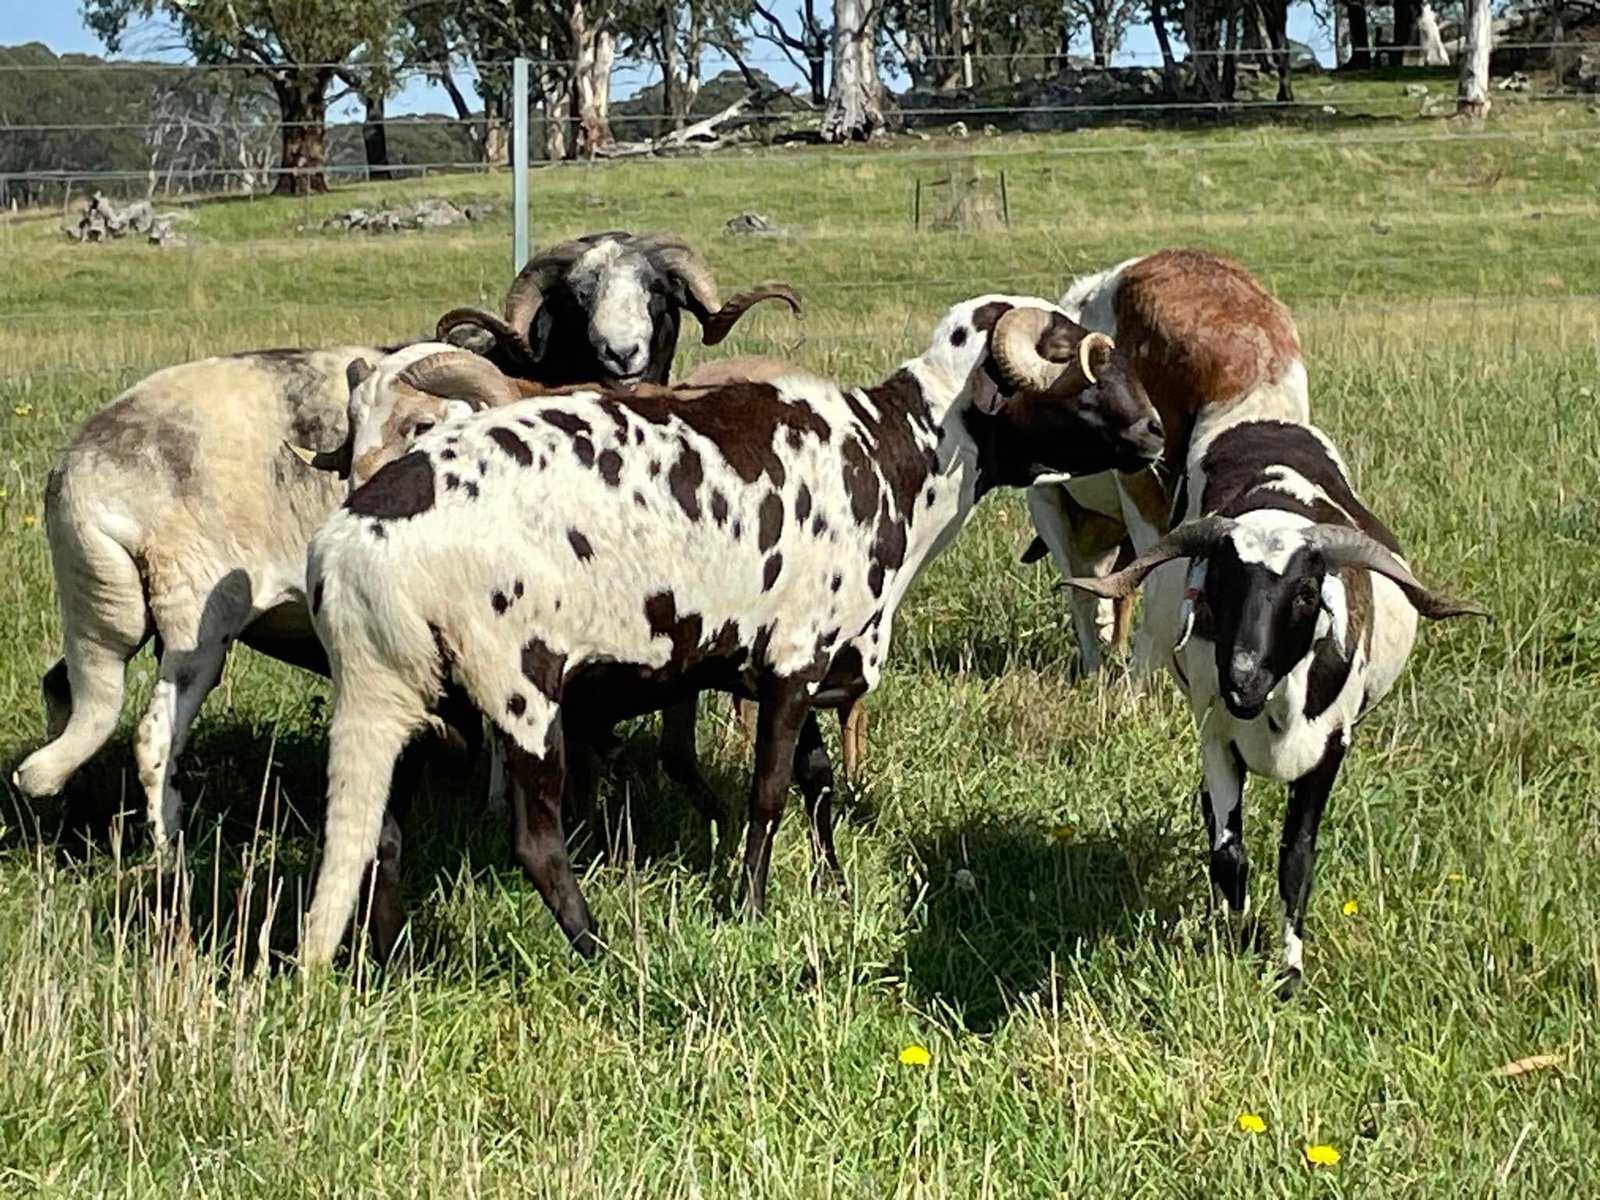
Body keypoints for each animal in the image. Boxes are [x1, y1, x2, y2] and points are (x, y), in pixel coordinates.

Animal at [13, 233, 798, 858]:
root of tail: (80, 473)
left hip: (104, 611)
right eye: (579, 294)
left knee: (66, 690)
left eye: (659, 291)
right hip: (192, 619)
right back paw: (169, 853)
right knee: (154, 737)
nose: (622, 353)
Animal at [297, 294, 1166, 965]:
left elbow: (818, 780)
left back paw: (387, 961)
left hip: (410, 694)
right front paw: (748, 903)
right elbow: (770, 790)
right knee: (535, 843)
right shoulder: (793, 660)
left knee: (382, 836)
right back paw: (602, 952)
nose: (1156, 432)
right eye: (1078, 364)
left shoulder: (802, 662)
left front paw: (832, 885)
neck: (895, 453)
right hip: (521, 690)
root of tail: (352, 545)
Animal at [1063, 412, 1484, 994]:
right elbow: (1229, 851)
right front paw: (1232, 938)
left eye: (1305, 592)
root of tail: (1266, 423)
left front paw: (1290, 969)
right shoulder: (1217, 738)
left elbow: (1297, 857)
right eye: (1219, 583)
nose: (1242, 678)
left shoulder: (1329, 750)